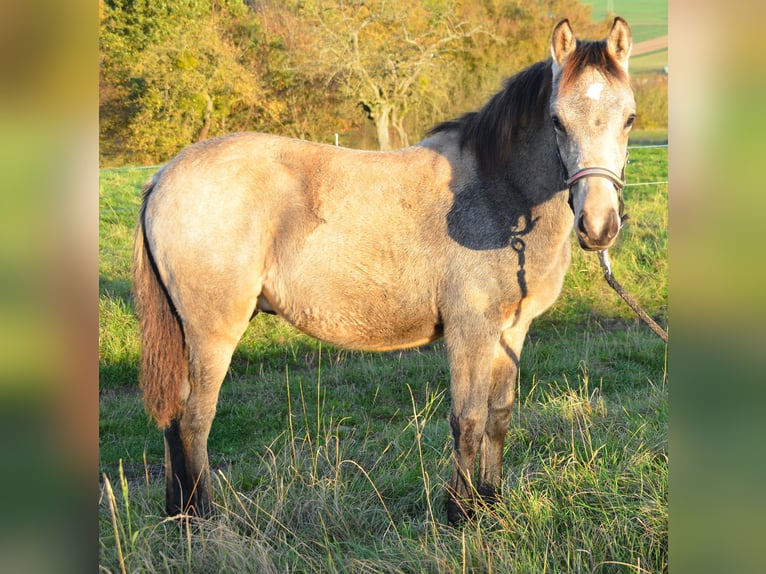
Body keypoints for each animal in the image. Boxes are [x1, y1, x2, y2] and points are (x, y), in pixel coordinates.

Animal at [134, 18, 636, 524]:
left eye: (629, 118)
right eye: (557, 120)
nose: (598, 226)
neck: (498, 193)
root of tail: (162, 177)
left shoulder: (511, 329)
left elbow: (498, 416)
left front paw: (491, 501)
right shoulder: (470, 329)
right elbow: (468, 418)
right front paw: (460, 512)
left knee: (173, 420)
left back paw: (178, 514)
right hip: (211, 333)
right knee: (195, 422)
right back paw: (204, 519)